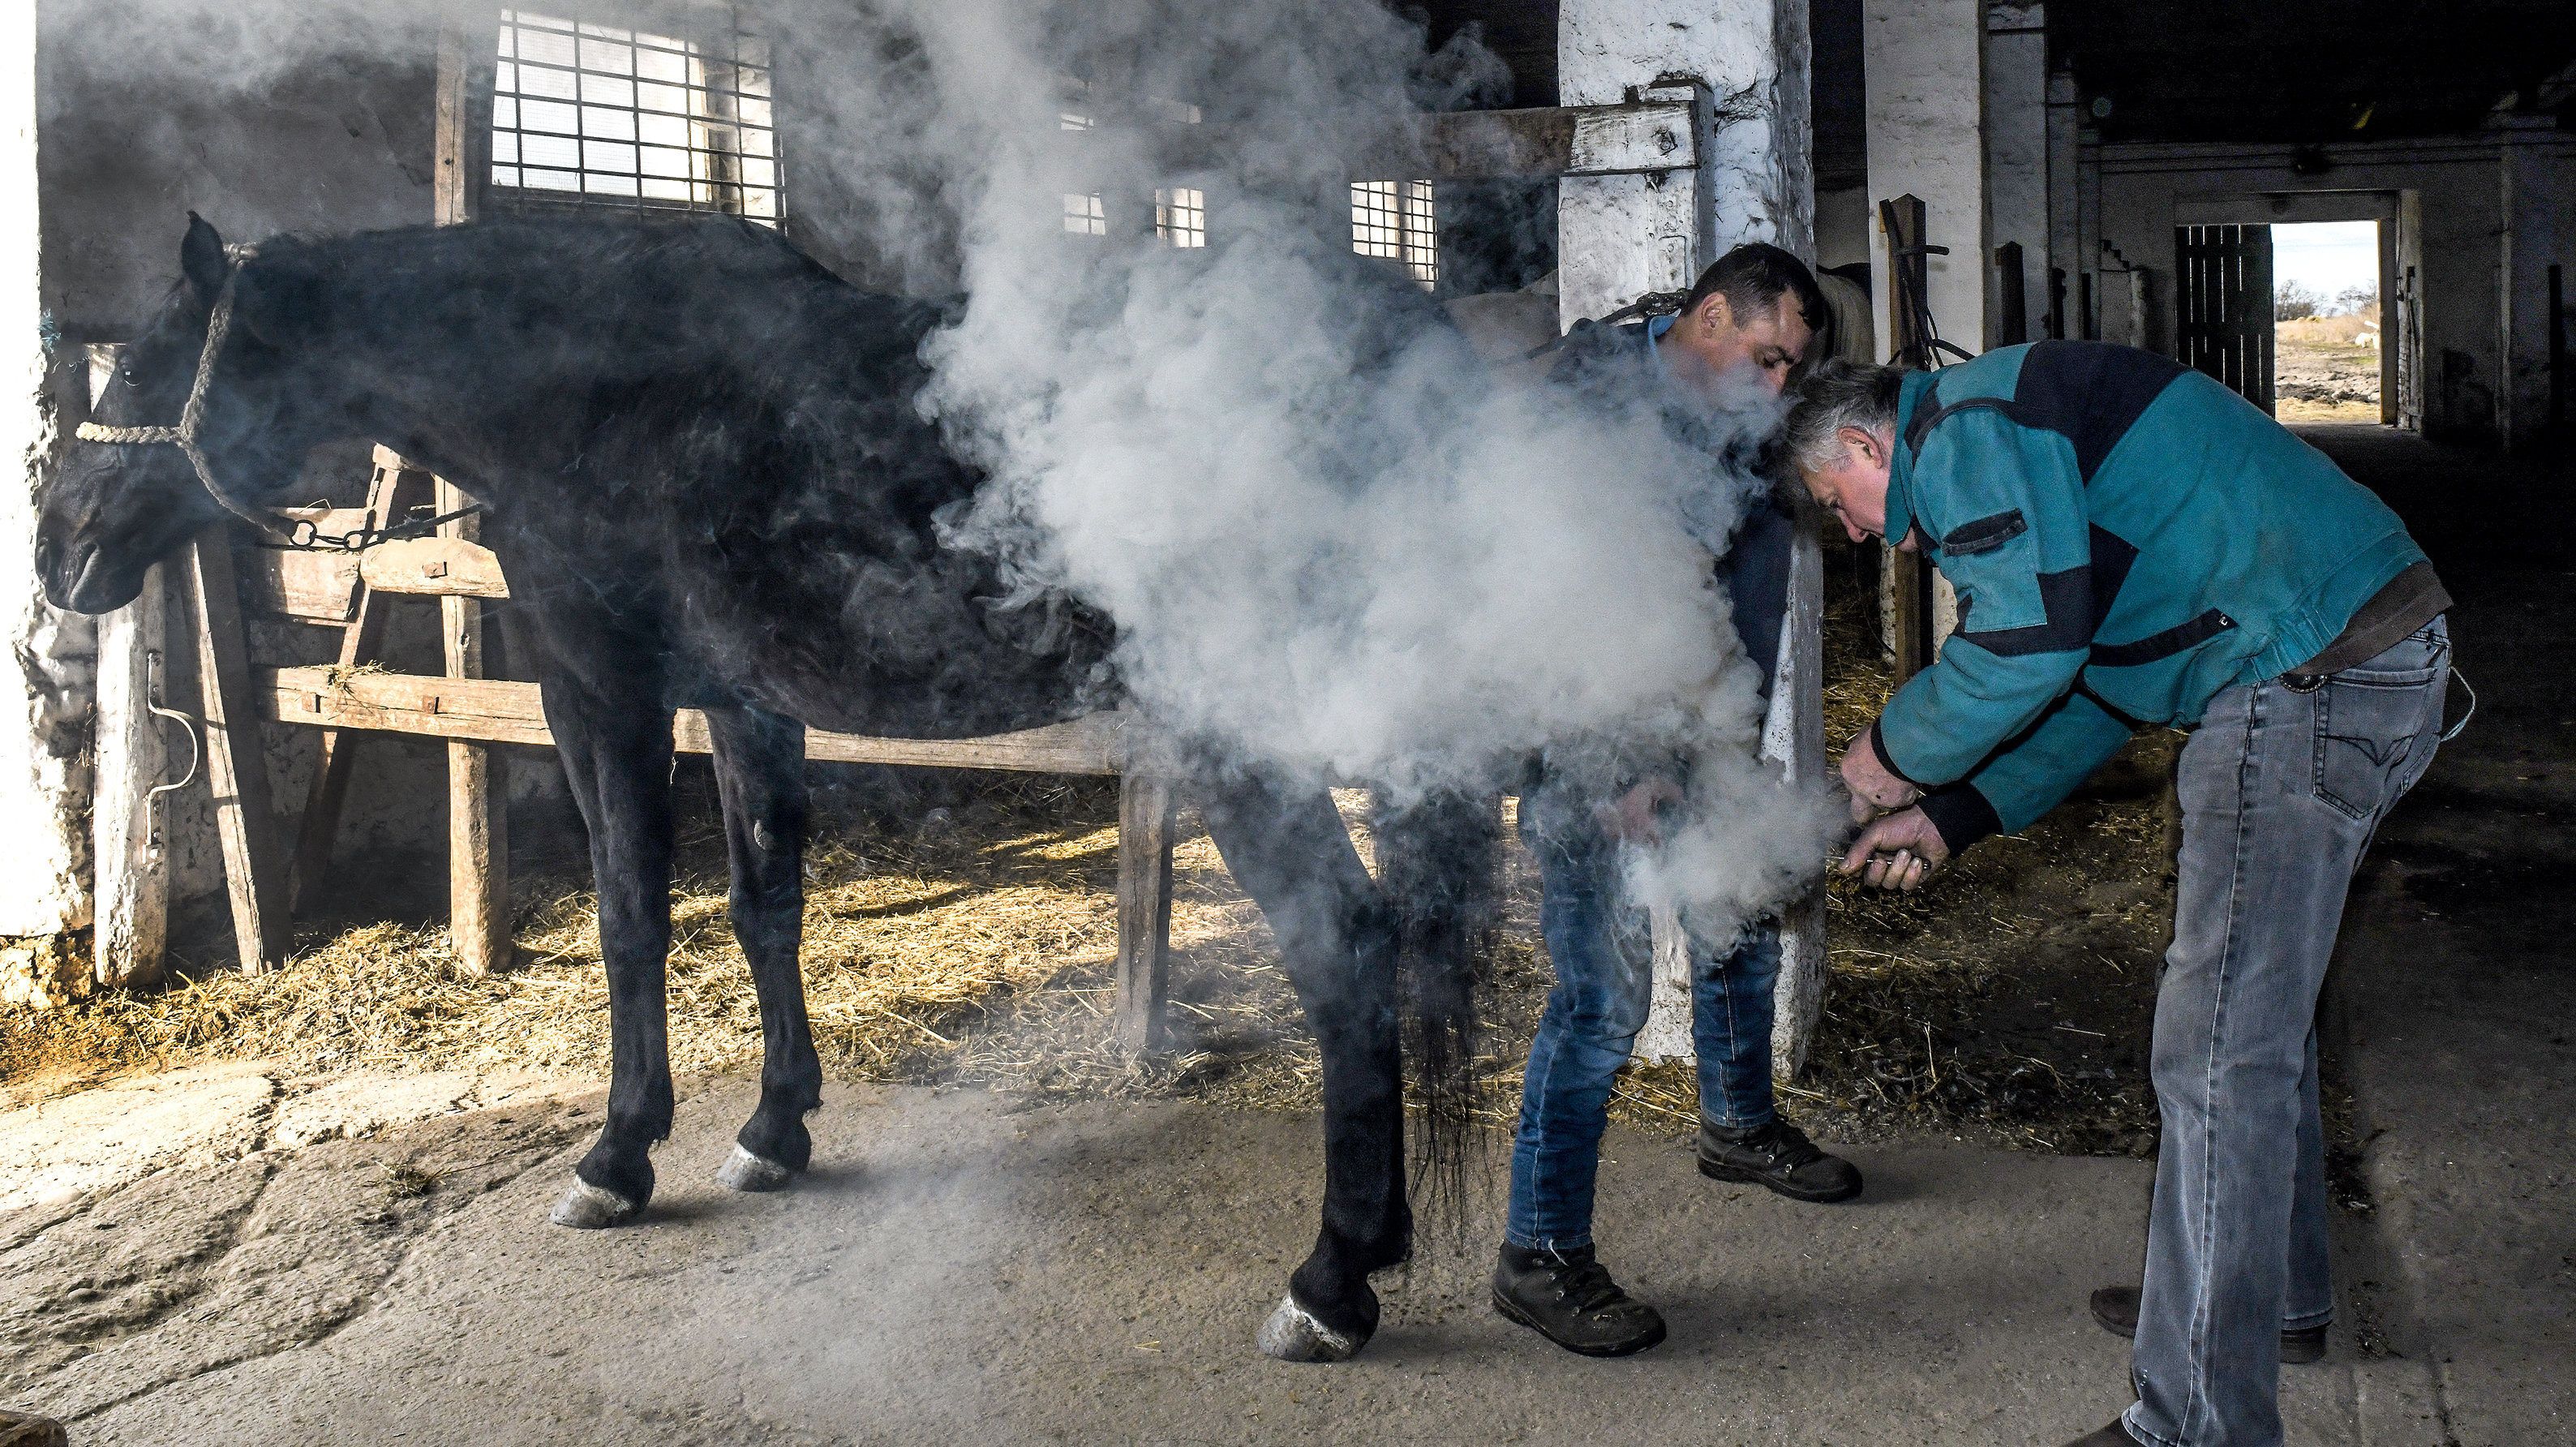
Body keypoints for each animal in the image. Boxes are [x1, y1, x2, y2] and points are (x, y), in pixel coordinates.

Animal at [35, 211, 1494, 1349]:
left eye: (151, 359)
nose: (54, 549)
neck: (586, 392)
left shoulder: (603, 694)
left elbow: (633, 916)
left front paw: (618, 1155)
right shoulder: (745, 707)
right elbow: (760, 905)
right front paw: (774, 1127)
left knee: (1346, 945)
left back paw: (1331, 1280)